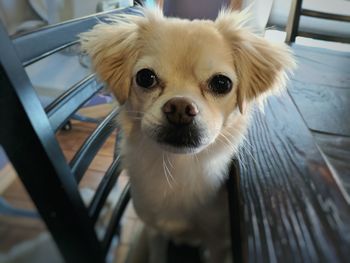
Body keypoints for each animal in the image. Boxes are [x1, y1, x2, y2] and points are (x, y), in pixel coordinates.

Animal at [81, 7, 296, 262]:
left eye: (221, 83)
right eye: (145, 77)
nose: (180, 108)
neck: (178, 167)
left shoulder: (218, 243)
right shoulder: (154, 231)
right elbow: (158, 256)